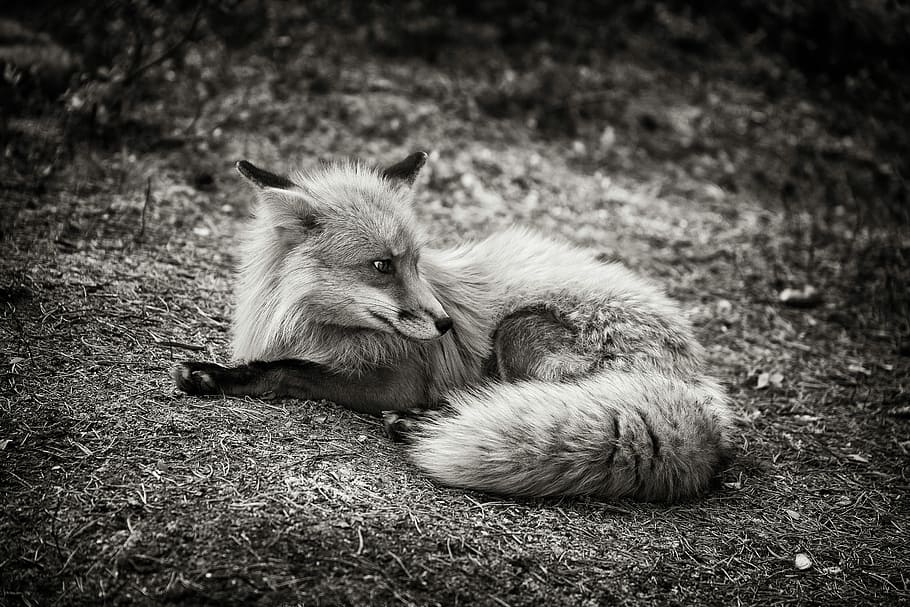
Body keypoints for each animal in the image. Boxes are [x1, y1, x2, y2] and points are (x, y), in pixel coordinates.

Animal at [172, 151, 736, 502]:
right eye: (382, 265)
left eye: (417, 262)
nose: (445, 324)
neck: (310, 324)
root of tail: (701, 388)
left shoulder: (396, 378)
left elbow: (290, 370)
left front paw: (222, 377)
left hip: (520, 330)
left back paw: (422, 423)